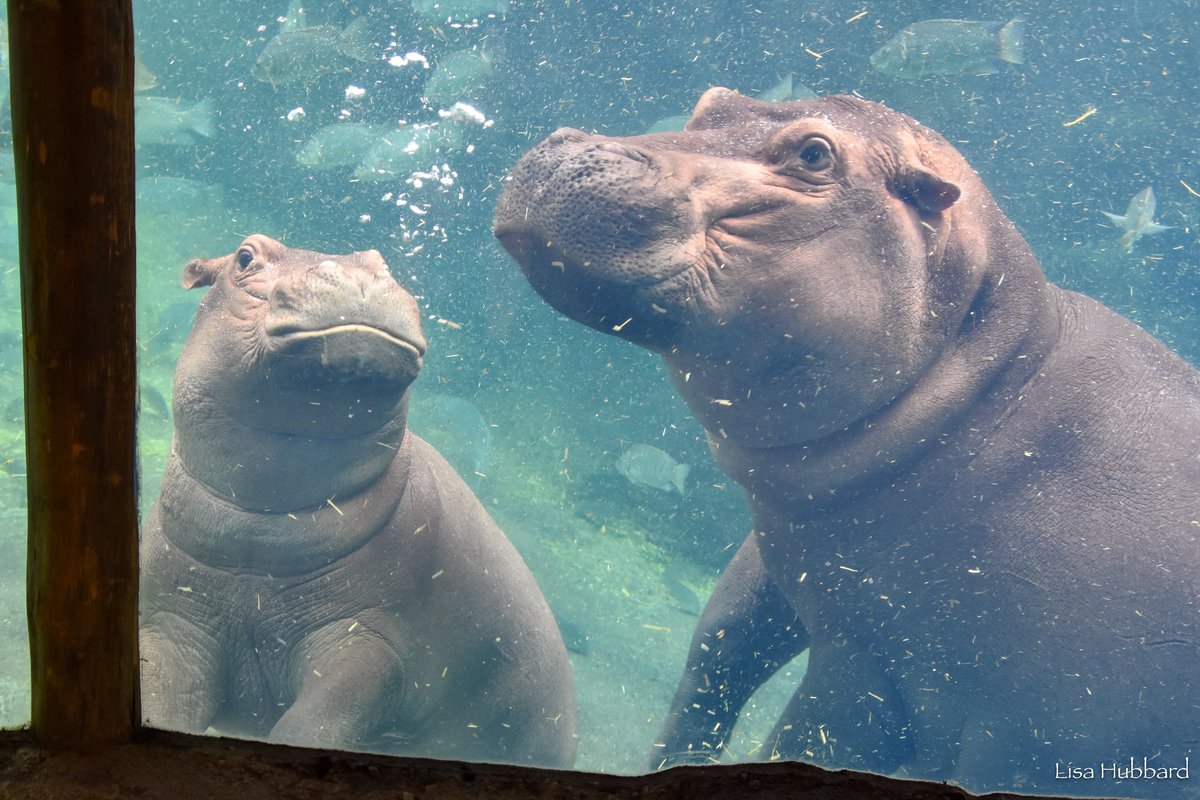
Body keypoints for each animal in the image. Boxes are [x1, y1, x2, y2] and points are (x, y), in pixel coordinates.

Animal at [139, 234, 578, 768]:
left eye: (379, 261)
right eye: (245, 257)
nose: (358, 274)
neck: (260, 528)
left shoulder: (368, 644)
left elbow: (314, 724)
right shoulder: (173, 628)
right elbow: (163, 699)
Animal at [494, 89, 1200, 796]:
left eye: (814, 154)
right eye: (711, 102)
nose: (567, 144)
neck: (990, 384)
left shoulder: (868, 667)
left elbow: (800, 740)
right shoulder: (802, 568)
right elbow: (719, 651)